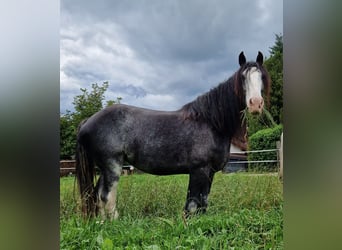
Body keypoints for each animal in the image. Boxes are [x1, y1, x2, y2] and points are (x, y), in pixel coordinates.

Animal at [76, 51, 272, 219]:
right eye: (242, 77)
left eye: (261, 76)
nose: (255, 104)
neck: (211, 123)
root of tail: (88, 121)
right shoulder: (199, 170)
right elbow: (193, 204)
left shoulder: (209, 173)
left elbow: (203, 202)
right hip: (112, 166)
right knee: (106, 196)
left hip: (105, 168)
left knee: (97, 196)